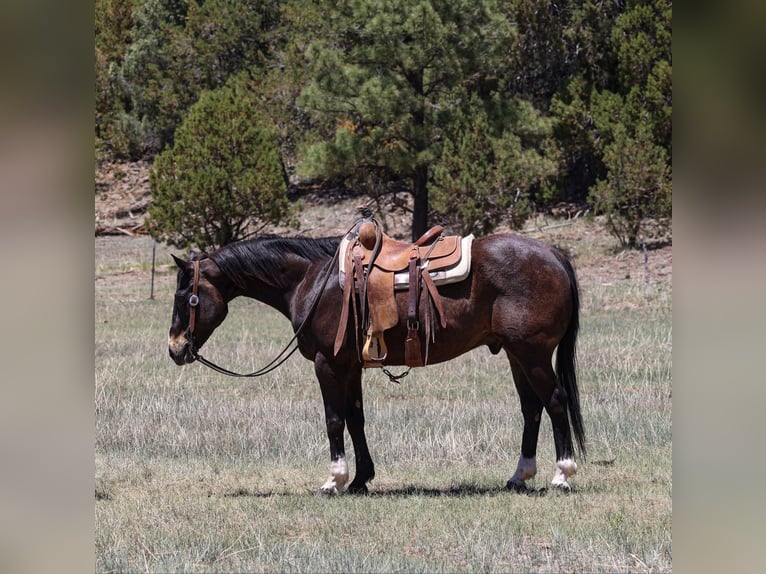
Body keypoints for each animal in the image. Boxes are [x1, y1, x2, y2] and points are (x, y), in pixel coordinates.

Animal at [167, 226, 586, 495]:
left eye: (187, 297)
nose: (175, 348)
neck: (312, 279)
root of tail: (554, 254)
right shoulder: (350, 367)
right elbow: (356, 419)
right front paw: (360, 479)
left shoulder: (328, 364)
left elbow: (334, 420)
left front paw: (334, 480)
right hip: (517, 354)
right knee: (531, 408)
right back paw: (519, 476)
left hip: (532, 353)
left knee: (555, 402)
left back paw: (562, 475)